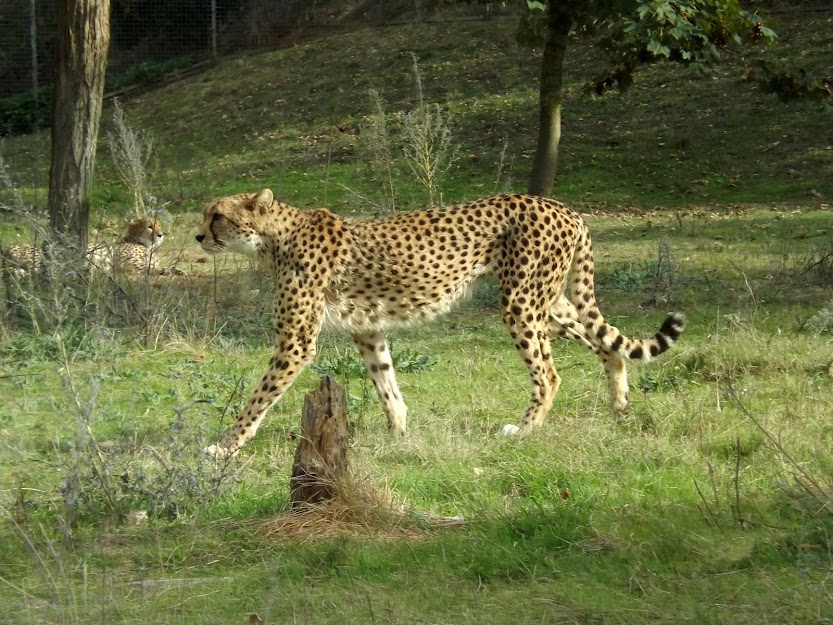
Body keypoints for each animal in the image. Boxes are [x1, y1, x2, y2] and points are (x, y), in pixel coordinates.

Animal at [195, 188, 684, 456]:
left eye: (217, 215)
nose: (198, 235)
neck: (275, 237)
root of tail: (564, 207)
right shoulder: (368, 329)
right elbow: (386, 384)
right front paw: (398, 435)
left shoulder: (296, 341)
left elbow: (259, 398)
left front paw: (224, 445)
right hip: (549, 303)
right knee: (607, 345)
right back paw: (620, 409)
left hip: (521, 302)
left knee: (549, 373)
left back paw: (524, 430)